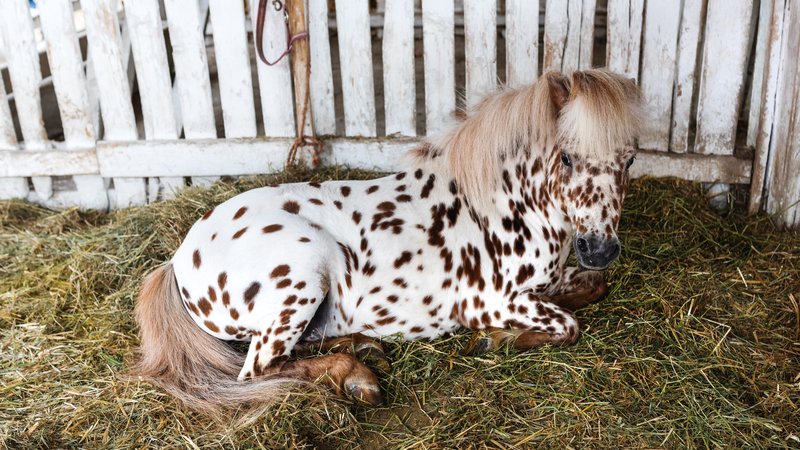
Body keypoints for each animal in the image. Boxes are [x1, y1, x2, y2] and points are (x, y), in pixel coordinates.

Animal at [131, 69, 641, 417]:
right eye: (567, 158)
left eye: (631, 159)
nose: (600, 249)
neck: (504, 204)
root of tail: (177, 263)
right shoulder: (492, 300)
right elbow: (569, 326)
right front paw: (493, 339)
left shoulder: (550, 282)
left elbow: (593, 288)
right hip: (303, 273)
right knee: (260, 368)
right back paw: (358, 378)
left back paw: (364, 348)